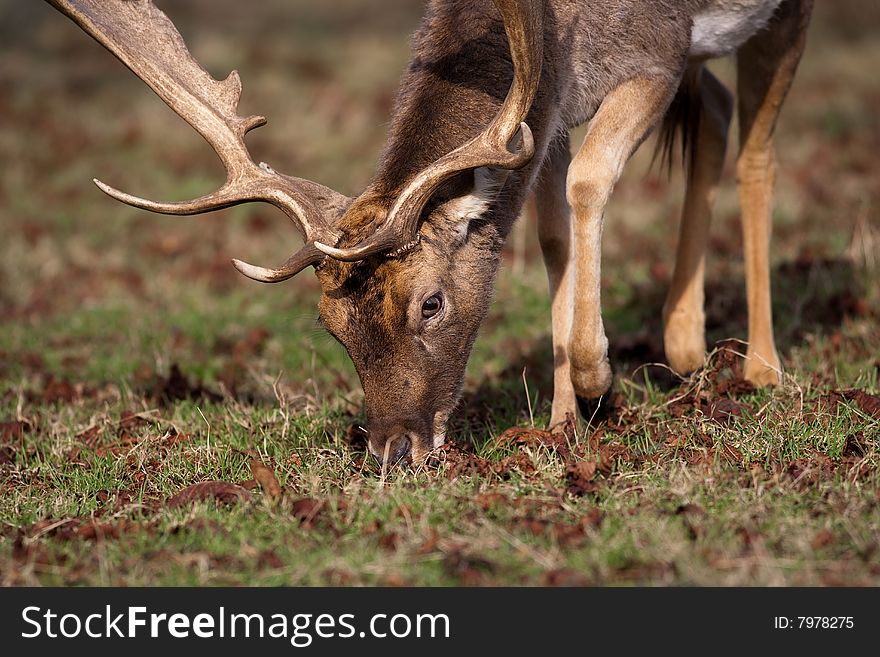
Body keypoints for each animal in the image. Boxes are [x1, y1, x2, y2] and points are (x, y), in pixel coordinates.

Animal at [46, 0, 820, 462]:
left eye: (431, 303)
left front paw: (598, 379)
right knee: (715, 110)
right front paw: (562, 423)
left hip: (776, 19)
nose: (392, 449)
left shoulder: (657, 55)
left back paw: (761, 367)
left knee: (758, 151)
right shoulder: (542, 115)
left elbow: (587, 184)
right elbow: (551, 235)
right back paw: (686, 342)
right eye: (330, 325)